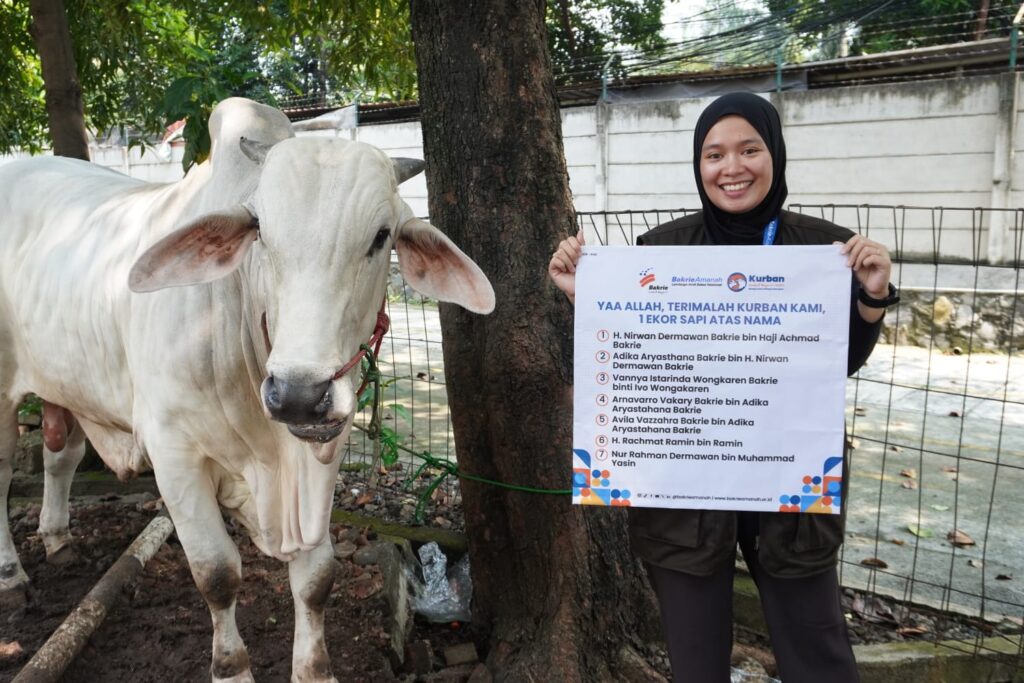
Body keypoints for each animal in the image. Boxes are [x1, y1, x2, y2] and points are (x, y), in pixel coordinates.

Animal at [0, 98, 495, 679]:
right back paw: (12, 577)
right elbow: (217, 574)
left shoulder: (324, 453)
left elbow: (317, 578)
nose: (299, 394)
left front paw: (314, 669)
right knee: (5, 470)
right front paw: (231, 667)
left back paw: (58, 541)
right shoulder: (174, 455)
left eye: (381, 236)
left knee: (62, 454)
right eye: (259, 231)